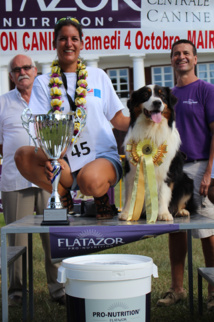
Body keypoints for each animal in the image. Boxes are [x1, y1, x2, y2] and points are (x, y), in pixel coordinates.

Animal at [119, 85, 196, 221]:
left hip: (187, 182)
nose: (157, 102)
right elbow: (129, 193)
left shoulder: (167, 171)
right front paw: (126, 213)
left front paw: (163, 213)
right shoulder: (130, 170)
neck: (151, 130)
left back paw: (182, 211)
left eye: (162, 96)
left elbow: (163, 193)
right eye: (145, 95)